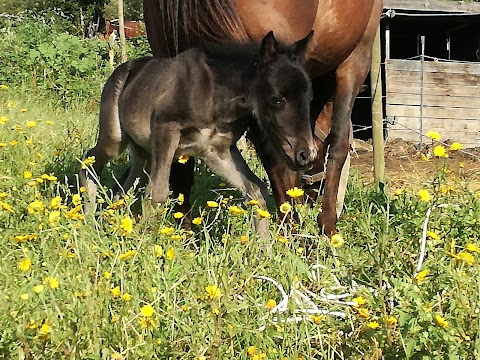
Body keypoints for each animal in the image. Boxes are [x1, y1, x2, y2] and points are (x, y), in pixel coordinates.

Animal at [142, 0, 382, 236]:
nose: (307, 198)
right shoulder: (357, 57)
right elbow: (338, 143)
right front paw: (328, 226)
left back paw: (184, 231)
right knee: (273, 155)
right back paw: (292, 231)